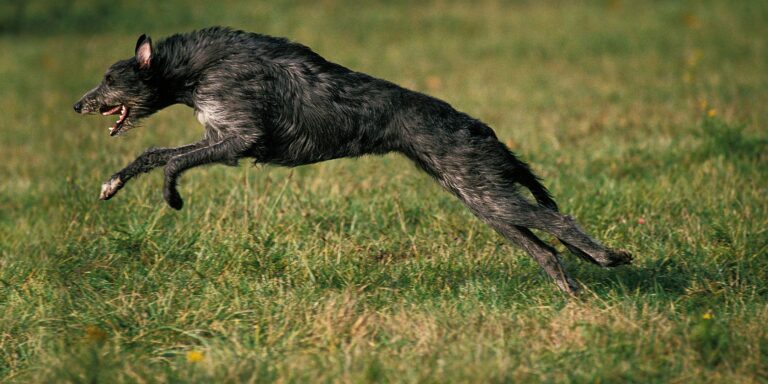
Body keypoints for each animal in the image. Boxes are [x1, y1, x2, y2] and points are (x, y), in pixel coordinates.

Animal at [75, 27, 632, 294]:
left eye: (109, 78)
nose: (77, 105)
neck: (193, 68)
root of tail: (480, 127)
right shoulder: (222, 136)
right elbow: (153, 153)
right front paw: (113, 184)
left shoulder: (236, 137)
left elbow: (168, 159)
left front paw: (171, 197)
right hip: (484, 201)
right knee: (546, 250)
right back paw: (572, 290)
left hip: (486, 191)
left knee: (559, 221)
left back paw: (608, 258)